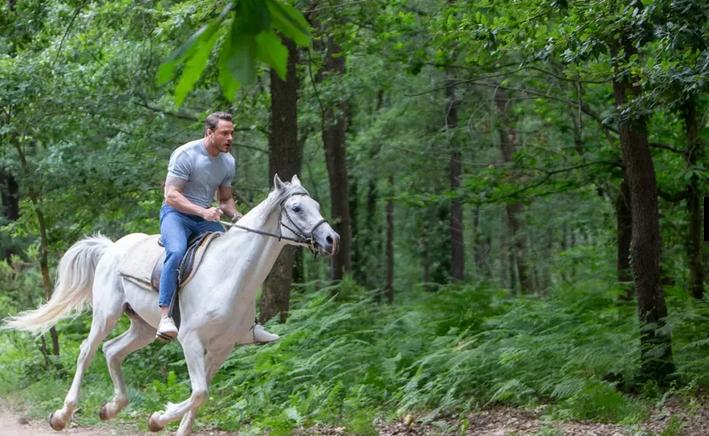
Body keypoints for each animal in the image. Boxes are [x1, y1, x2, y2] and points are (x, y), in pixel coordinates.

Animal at [1, 175, 338, 434]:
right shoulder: (191, 339)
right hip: (107, 314)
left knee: (112, 351)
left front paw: (165, 421)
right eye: (297, 208)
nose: (331, 239)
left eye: (318, 206)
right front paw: (157, 418)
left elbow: (201, 396)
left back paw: (111, 408)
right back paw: (62, 415)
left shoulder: (222, 348)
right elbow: (200, 392)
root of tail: (111, 247)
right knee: (87, 352)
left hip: (142, 327)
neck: (229, 275)